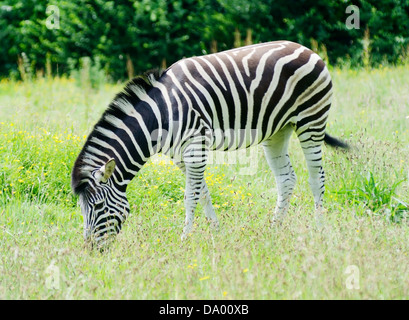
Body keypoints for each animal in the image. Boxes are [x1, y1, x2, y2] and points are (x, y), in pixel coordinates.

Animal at [71, 40, 348, 250]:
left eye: (97, 207)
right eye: (81, 209)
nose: (90, 250)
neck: (161, 115)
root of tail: (308, 49)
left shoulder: (195, 147)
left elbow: (189, 196)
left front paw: (184, 240)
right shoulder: (180, 155)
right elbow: (203, 193)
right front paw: (216, 232)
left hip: (311, 121)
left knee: (316, 177)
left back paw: (319, 229)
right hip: (278, 131)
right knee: (287, 179)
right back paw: (274, 229)